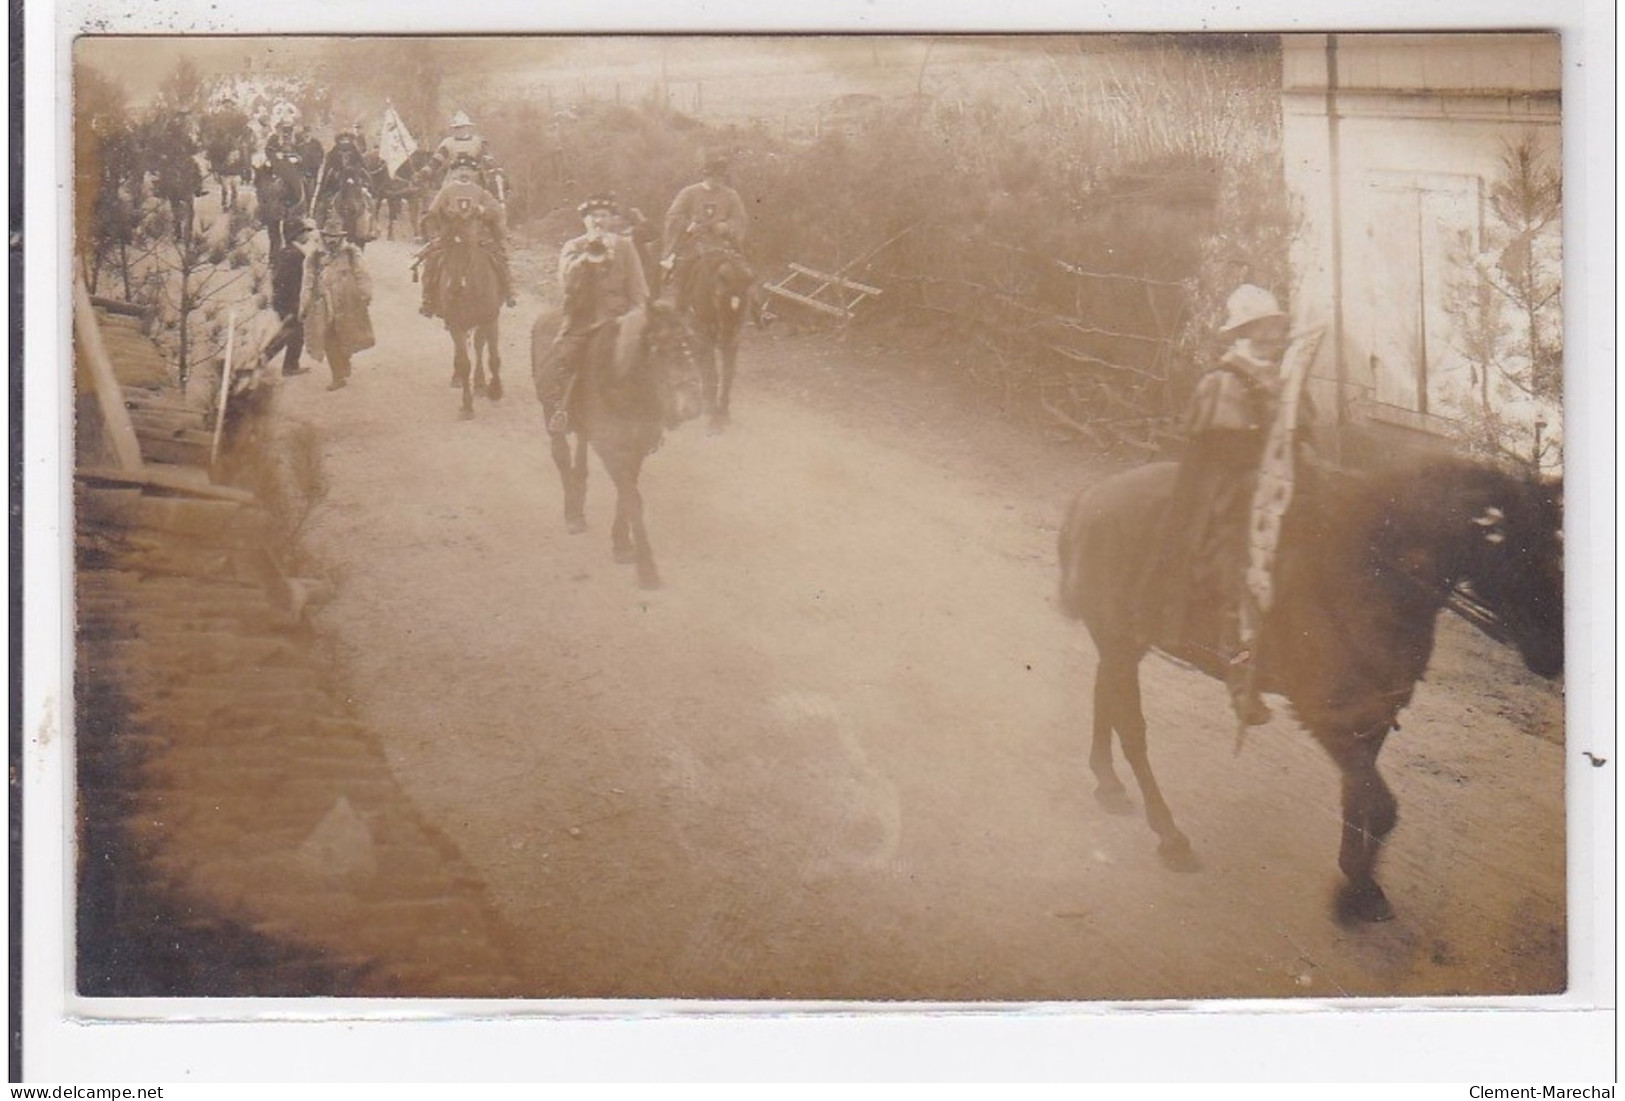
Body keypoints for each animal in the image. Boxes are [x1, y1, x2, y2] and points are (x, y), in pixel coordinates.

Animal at [533, 297, 705, 591]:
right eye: (658, 348)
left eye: (692, 343)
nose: (690, 405)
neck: (623, 384)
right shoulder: (612, 450)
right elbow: (632, 498)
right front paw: (647, 569)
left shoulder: (636, 450)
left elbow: (627, 495)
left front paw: (622, 544)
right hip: (551, 415)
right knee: (562, 457)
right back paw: (572, 512)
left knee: (580, 456)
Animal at [679, 248, 767, 435]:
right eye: (719, 299)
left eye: (746, 300)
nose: (725, 338)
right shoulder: (703, 334)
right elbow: (712, 372)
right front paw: (714, 417)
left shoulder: (733, 339)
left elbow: (728, 374)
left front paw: (723, 414)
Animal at [1059, 451, 1566, 928]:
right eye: (1520, 549)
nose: (1553, 653)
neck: (1372, 572)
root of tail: (1093, 495)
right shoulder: (1326, 717)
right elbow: (1381, 806)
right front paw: (1351, 894)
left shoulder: (1371, 717)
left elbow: (1358, 796)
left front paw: (1361, 883)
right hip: (1121, 641)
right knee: (1132, 730)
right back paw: (1170, 835)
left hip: (1123, 643)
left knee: (1104, 697)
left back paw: (1108, 783)